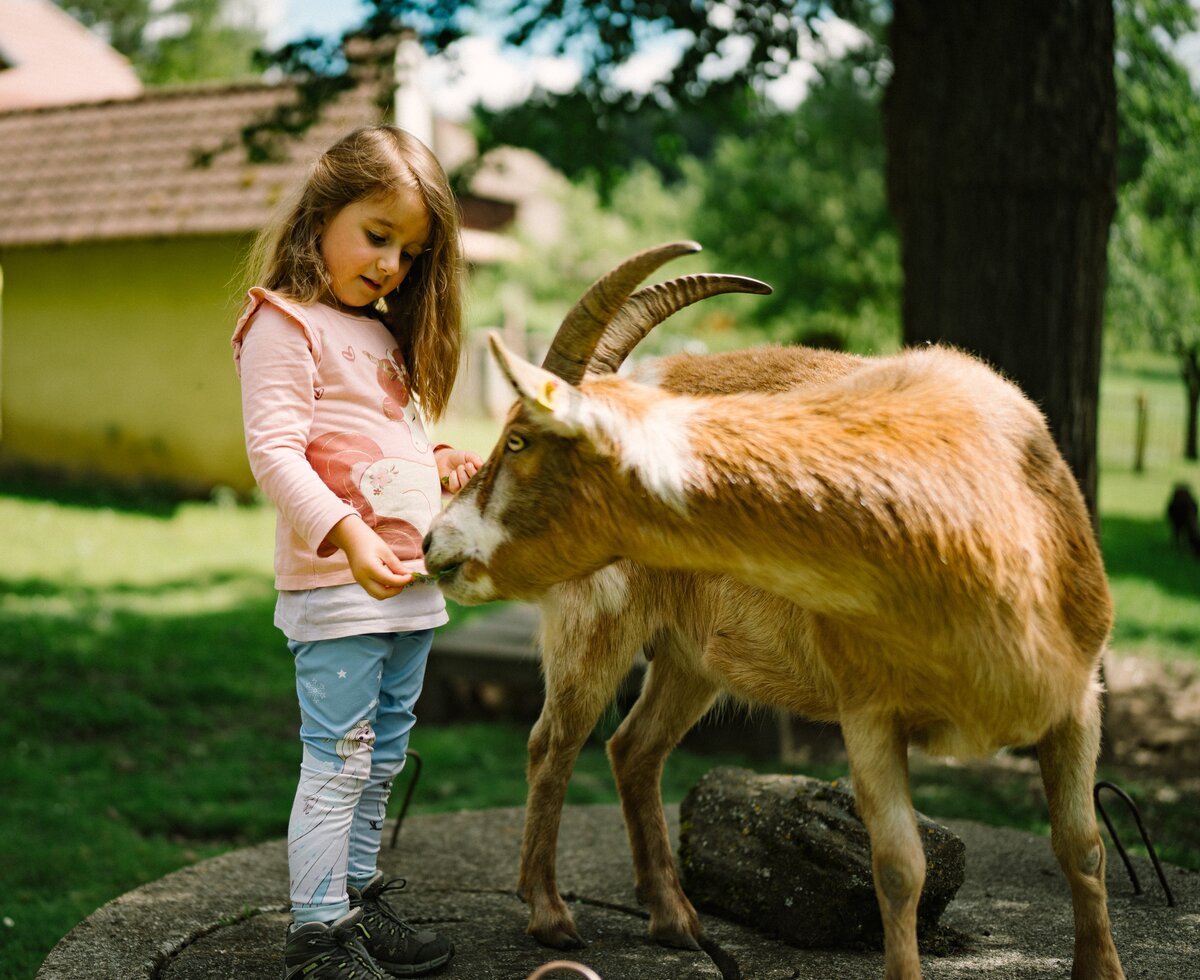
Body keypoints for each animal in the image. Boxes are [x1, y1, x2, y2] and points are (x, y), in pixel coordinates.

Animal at [423, 244, 1125, 979]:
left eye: (520, 441)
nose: (436, 542)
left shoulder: (1078, 698)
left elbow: (1082, 844)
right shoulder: (869, 711)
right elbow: (901, 866)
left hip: (691, 657)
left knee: (633, 746)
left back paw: (675, 920)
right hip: (594, 622)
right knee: (553, 742)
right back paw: (552, 917)